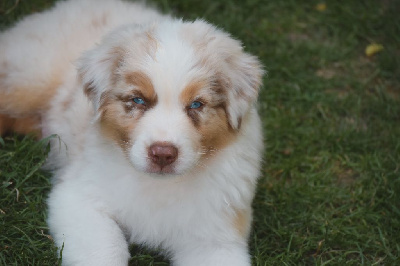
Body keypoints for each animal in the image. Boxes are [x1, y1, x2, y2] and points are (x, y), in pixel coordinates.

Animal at [0, 1, 264, 264]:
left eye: (196, 104)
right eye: (138, 100)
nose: (162, 154)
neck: (158, 186)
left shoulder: (216, 236)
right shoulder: (80, 198)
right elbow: (105, 249)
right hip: (27, 81)